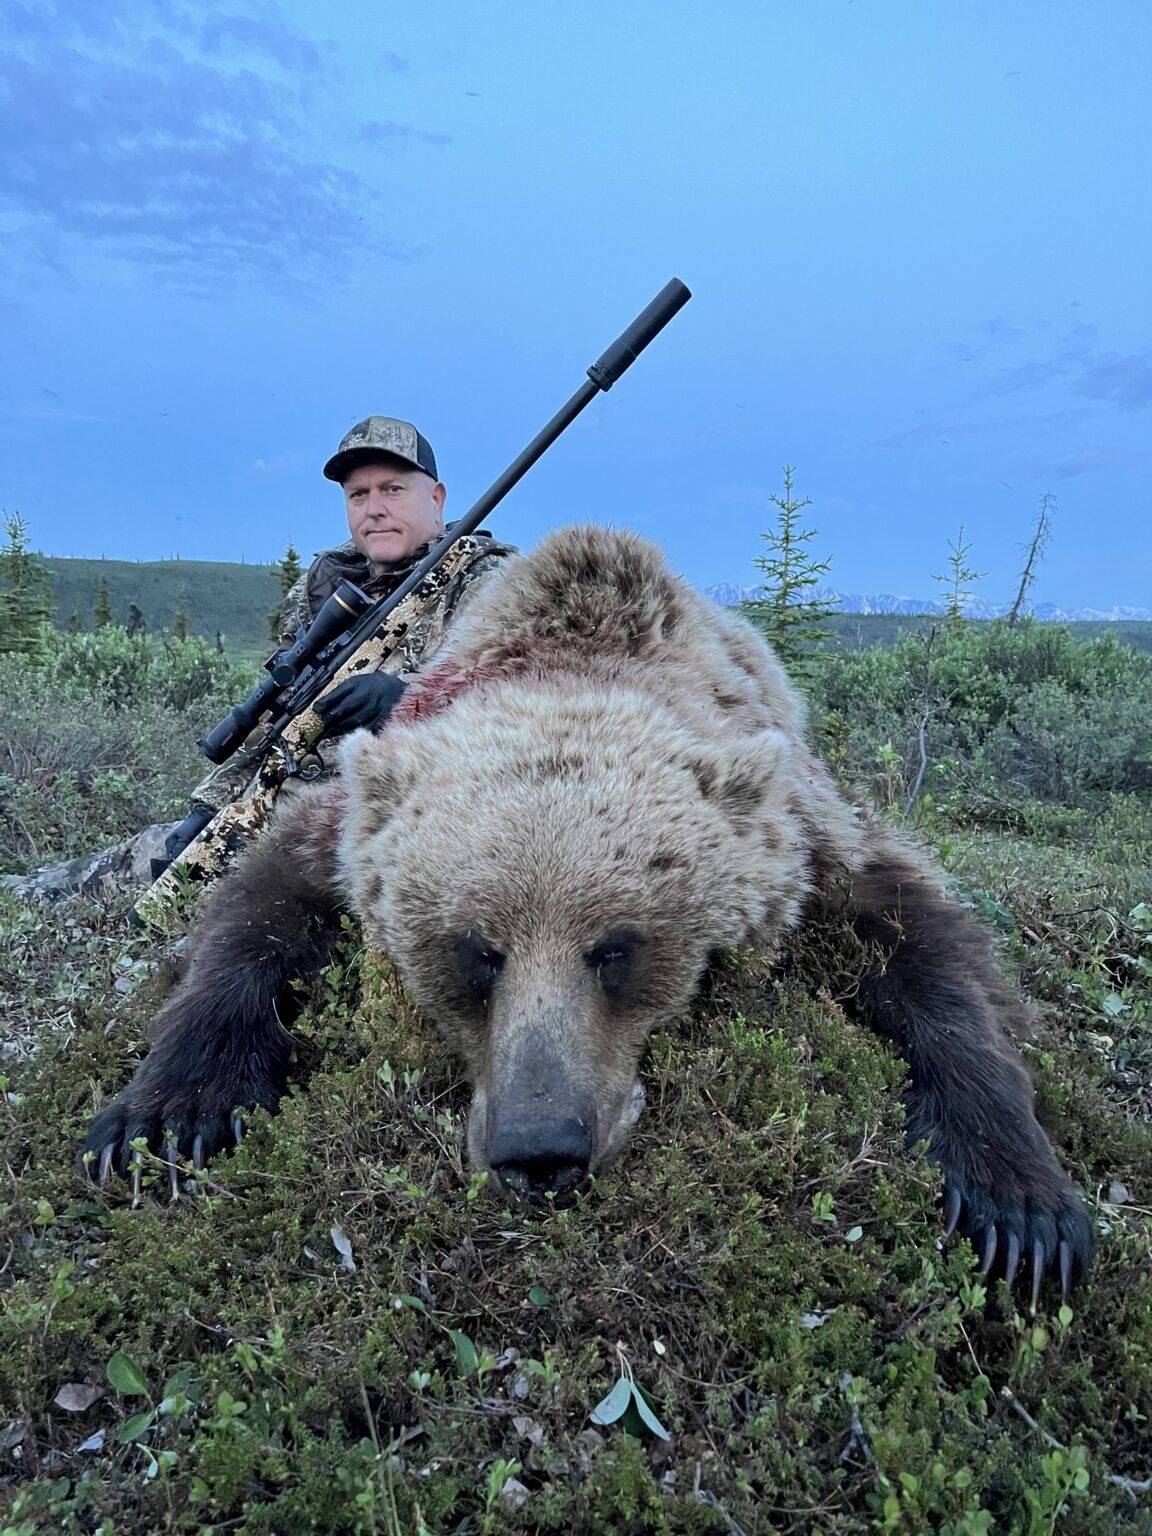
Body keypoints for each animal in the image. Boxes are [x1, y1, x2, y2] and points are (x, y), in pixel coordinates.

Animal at [84, 524, 1095, 1307]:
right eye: (476, 950)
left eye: (617, 947)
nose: (541, 1152)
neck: (580, 659)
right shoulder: (347, 819)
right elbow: (254, 911)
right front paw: (166, 1116)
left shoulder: (810, 836)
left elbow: (925, 942)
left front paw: (1019, 1207)